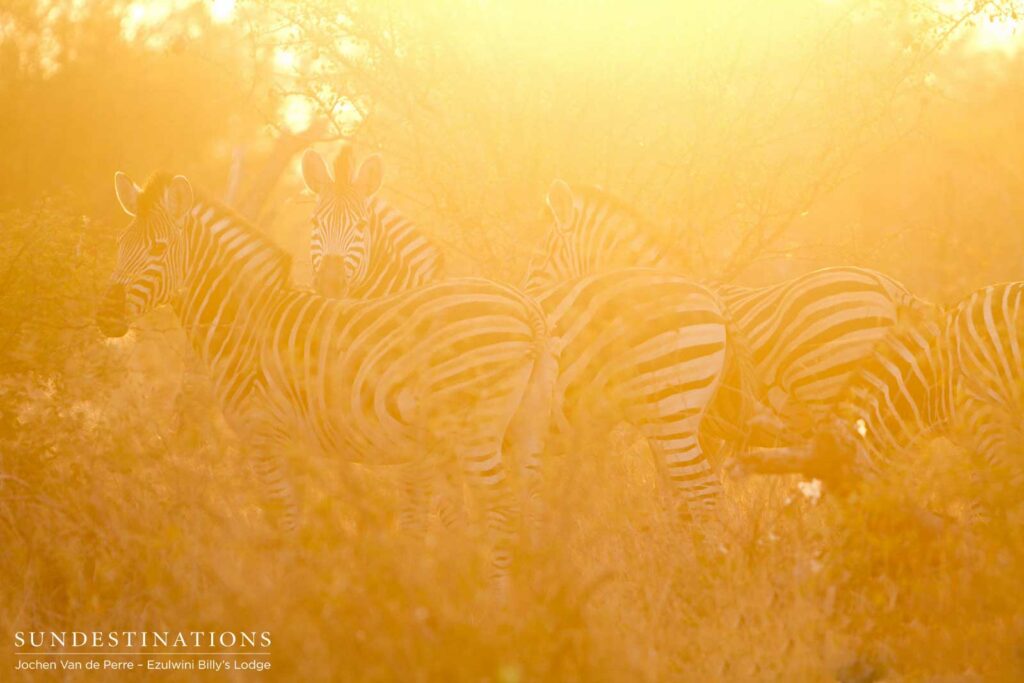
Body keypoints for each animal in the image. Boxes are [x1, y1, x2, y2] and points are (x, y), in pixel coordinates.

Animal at [96, 171, 558, 585]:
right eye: (120, 245)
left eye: (159, 248)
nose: (107, 315)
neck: (247, 320)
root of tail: (528, 311)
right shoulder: (293, 444)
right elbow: (299, 520)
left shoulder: (263, 434)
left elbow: (282, 520)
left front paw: (289, 596)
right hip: (527, 426)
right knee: (534, 505)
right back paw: (534, 594)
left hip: (474, 432)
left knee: (502, 512)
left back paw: (494, 603)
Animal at [302, 148, 784, 521]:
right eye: (313, 225)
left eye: (361, 228)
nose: (328, 282)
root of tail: (709, 294)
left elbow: (429, 515)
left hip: (670, 409)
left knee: (704, 496)